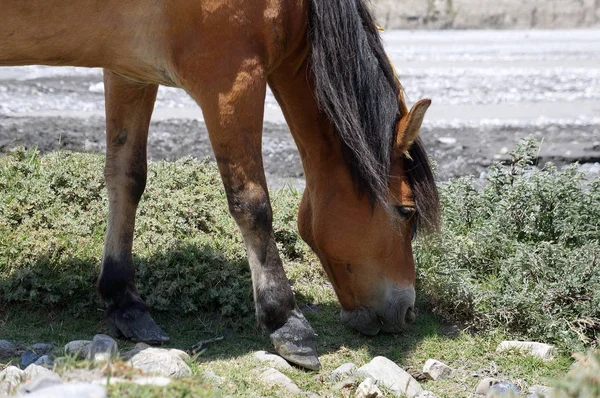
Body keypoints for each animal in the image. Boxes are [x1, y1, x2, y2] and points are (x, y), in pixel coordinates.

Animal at [1, 0, 440, 370]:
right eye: (406, 211)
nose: (407, 311)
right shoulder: (231, 80)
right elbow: (252, 203)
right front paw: (286, 322)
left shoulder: (128, 71)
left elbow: (126, 178)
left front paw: (124, 301)